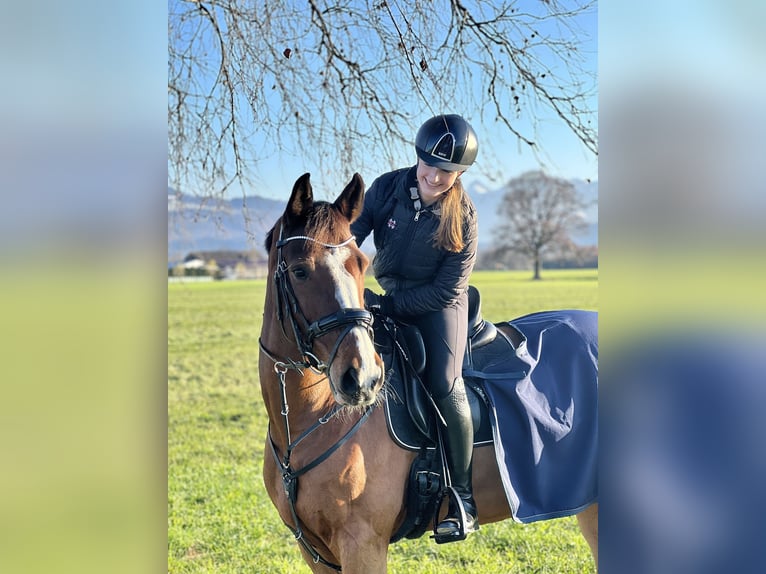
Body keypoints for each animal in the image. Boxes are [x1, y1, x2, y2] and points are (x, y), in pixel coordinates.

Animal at [260, 173, 600, 572]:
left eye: (361, 263)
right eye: (300, 271)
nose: (363, 378)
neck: (307, 421)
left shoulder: (362, 545)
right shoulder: (315, 552)